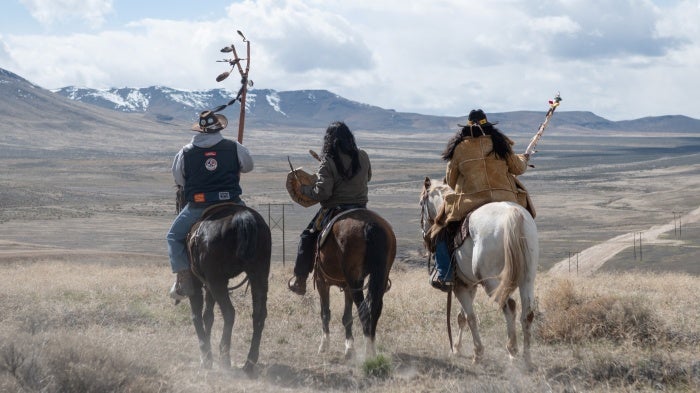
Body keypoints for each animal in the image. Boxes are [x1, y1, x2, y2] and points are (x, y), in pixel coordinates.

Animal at [178, 191, 270, 376]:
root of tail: (242, 217)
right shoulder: (211, 285)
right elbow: (208, 315)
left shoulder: (198, 282)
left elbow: (197, 315)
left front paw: (206, 356)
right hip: (259, 275)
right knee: (259, 314)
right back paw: (249, 363)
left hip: (217, 281)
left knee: (229, 312)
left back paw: (225, 358)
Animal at [314, 208, 396, 358]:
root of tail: (370, 226)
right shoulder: (347, 287)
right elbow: (347, 316)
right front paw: (349, 347)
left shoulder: (321, 282)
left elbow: (325, 312)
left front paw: (324, 345)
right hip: (379, 276)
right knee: (375, 309)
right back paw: (372, 350)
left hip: (354, 281)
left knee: (364, 310)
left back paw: (368, 353)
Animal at [418, 176, 540, 366]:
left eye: (421, 203)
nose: (425, 233)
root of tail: (513, 214)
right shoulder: (470, 284)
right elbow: (461, 317)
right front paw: (457, 348)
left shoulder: (459, 285)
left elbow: (470, 317)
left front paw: (477, 353)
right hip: (527, 278)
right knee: (527, 313)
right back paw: (527, 359)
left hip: (492, 282)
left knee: (509, 306)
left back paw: (512, 350)